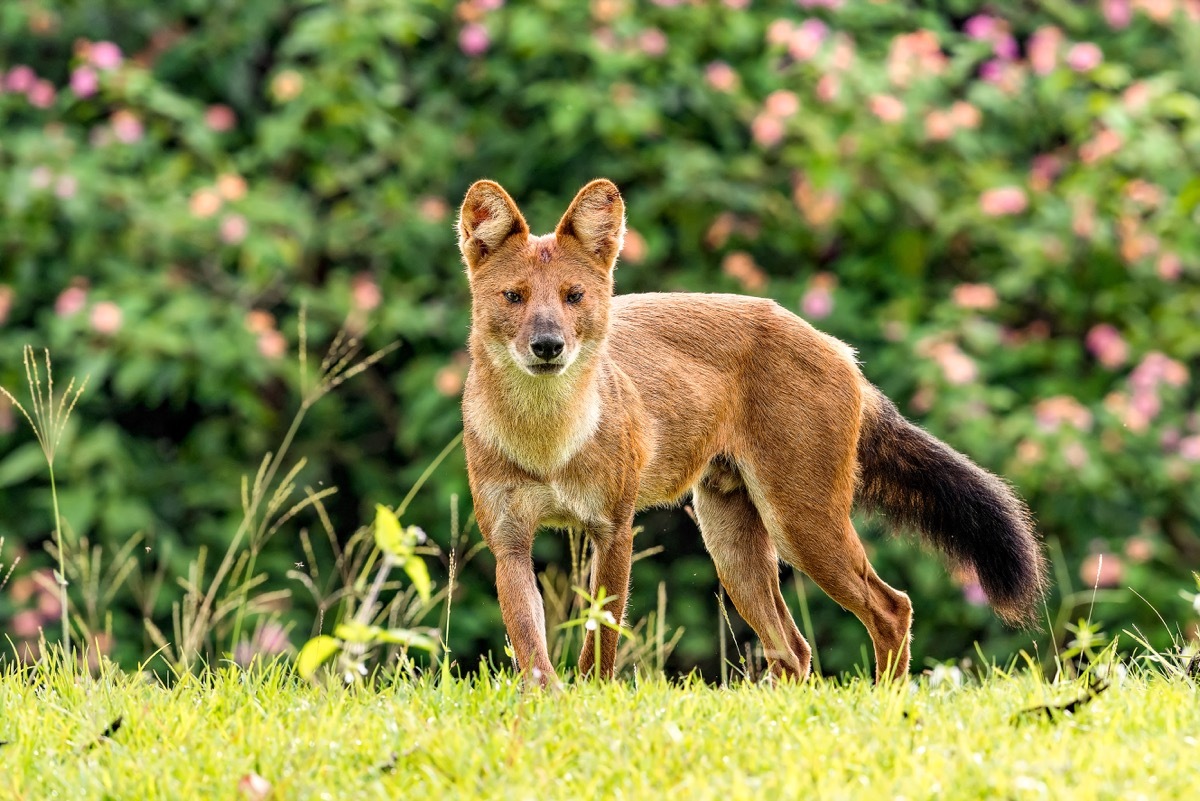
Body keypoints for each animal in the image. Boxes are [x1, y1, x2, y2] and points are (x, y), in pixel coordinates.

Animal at [453, 178, 1046, 685]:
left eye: (573, 296)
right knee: (794, 649)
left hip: (802, 524)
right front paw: (545, 707)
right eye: (514, 297)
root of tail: (837, 346)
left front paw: (592, 700)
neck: (547, 442)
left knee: (890, 608)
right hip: (731, 541)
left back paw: (886, 704)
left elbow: (600, 642)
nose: (548, 345)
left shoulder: (613, 529)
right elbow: (529, 646)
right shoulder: (508, 540)